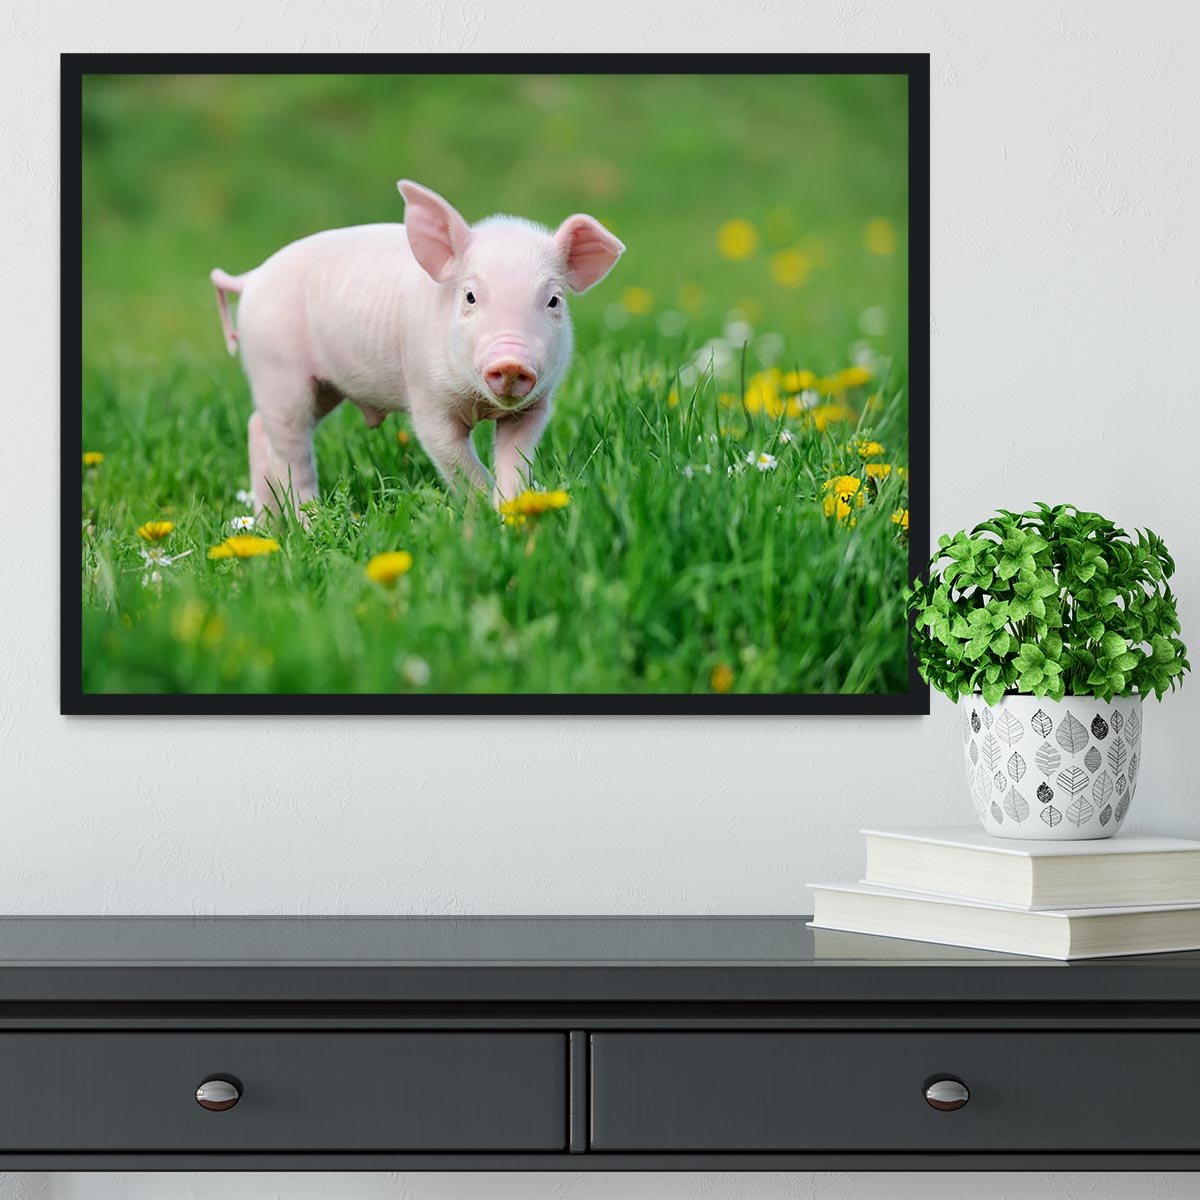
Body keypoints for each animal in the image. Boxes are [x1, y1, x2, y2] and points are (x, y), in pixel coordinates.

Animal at [210, 181, 624, 516]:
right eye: (470, 296)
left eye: (554, 300)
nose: (510, 361)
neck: (480, 404)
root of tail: (251, 278)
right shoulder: (427, 400)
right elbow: (458, 463)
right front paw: (482, 517)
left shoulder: (535, 406)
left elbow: (515, 461)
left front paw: (513, 512)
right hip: (276, 370)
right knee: (290, 454)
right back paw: (310, 524)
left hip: (320, 386)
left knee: (259, 429)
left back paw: (269, 528)